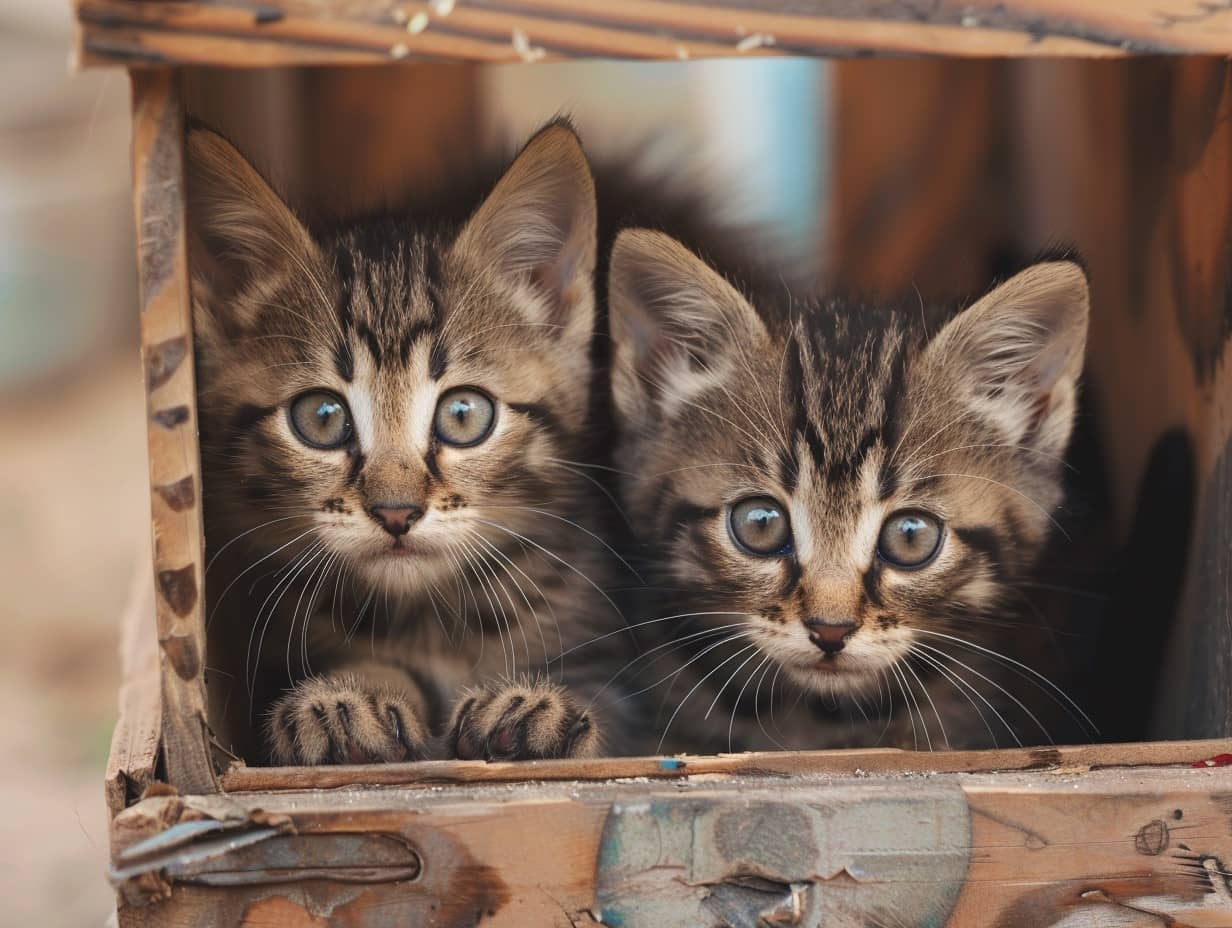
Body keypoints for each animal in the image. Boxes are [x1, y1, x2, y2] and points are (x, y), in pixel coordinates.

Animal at [192, 121, 635, 759]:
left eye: (464, 414)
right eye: (321, 417)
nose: (396, 512)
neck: (429, 619)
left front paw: (538, 707)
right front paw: (348, 697)